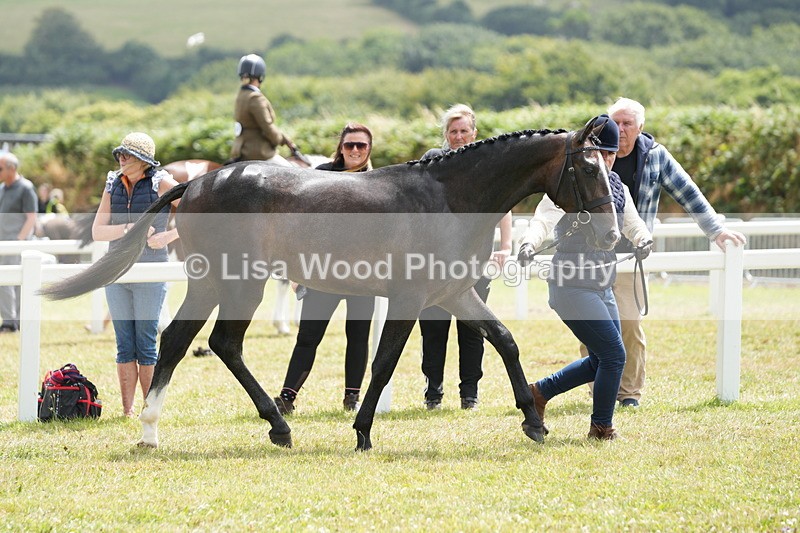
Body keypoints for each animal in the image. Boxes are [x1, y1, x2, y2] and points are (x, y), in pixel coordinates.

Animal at [42, 118, 620, 452]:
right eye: (589, 170)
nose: (612, 235)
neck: (447, 198)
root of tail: (197, 180)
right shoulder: (408, 299)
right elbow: (383, 363)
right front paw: (362, 432)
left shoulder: (453, 293)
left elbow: (504, 339)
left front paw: (534, 422)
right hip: (239, 282)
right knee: (219, 343)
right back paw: (274, 426)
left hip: (212, 284)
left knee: (180, 342)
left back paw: (154, 432)